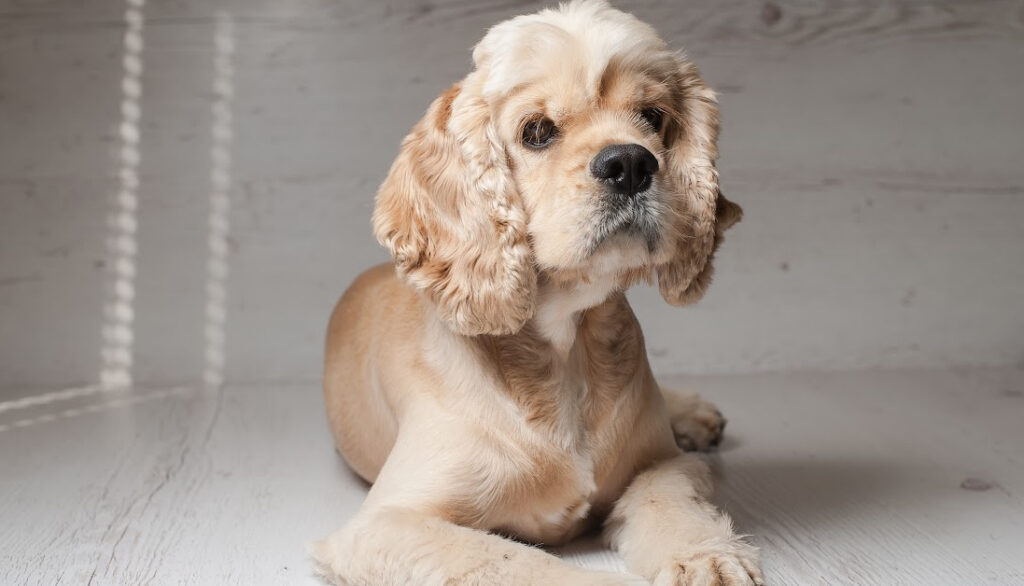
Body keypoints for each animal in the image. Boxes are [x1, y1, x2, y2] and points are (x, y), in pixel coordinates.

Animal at [315, 2, 765, 581]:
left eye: (653, 117)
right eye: (537, 131)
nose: (631, 164)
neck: (563, 348)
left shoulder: (665, 464)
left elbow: (670, 502)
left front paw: (706, 556)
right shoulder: (386, 523)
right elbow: (519, 563)